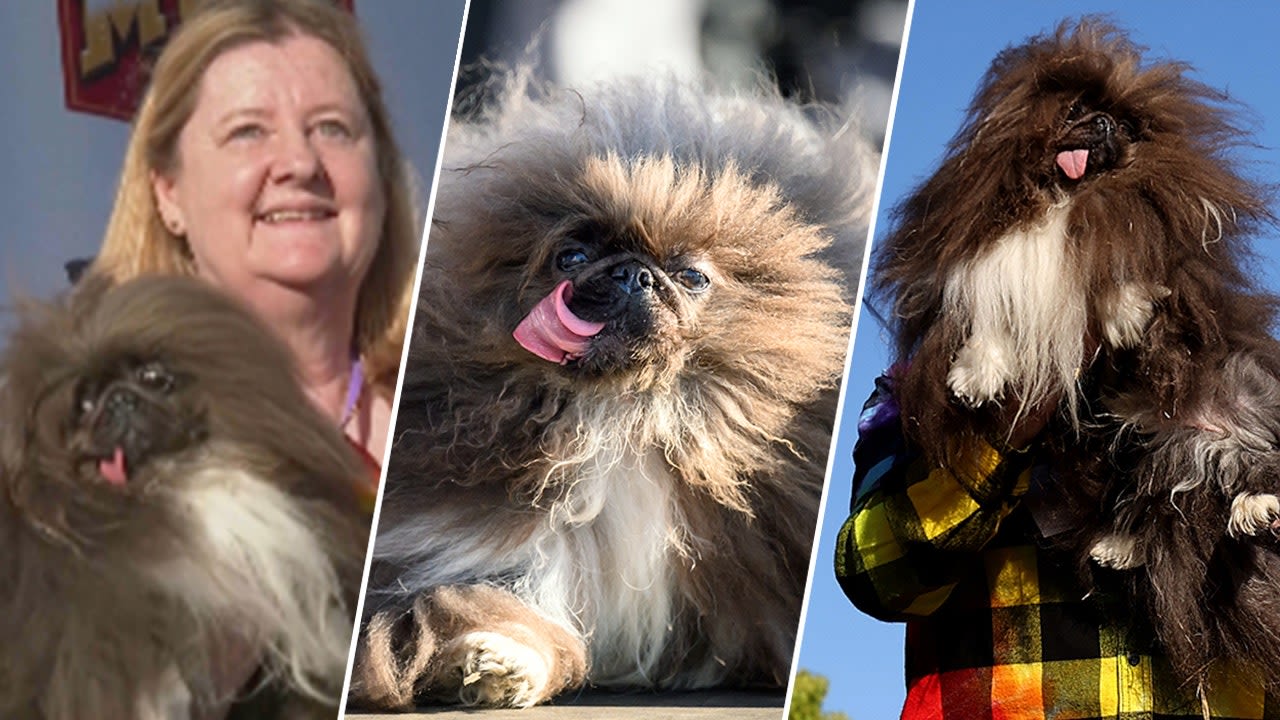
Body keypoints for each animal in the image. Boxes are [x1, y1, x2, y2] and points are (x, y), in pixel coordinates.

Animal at [353, 73, 880, 707]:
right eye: (572, 256)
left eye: (692, 276)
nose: (634, 274)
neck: (625, 417)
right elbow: (506, 612)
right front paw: (491, 664)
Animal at [880, 16, 1280, 686]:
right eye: (1073, 112)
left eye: (1121, 124)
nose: (1101, 125)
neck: (1067, 198)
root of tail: (1209, 436)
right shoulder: (992, 275)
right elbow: (989, 326)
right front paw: (973, 379)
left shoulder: (1146, 248)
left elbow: (1125, 277)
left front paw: (1124, 316)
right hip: (1134, 448)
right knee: (1165, 508)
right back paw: (1120, 545)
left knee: (1248, 478)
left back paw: (1258, 505)